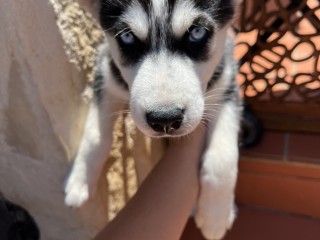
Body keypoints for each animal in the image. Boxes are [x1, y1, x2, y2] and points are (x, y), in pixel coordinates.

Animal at [64, 0, 240, 239]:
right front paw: (80, 178)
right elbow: (95, 136)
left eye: (197, 32)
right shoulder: (107, 75)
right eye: (127, 36)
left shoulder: (227, 82)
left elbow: (223, 158)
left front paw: (216, 216)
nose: (164, 119)